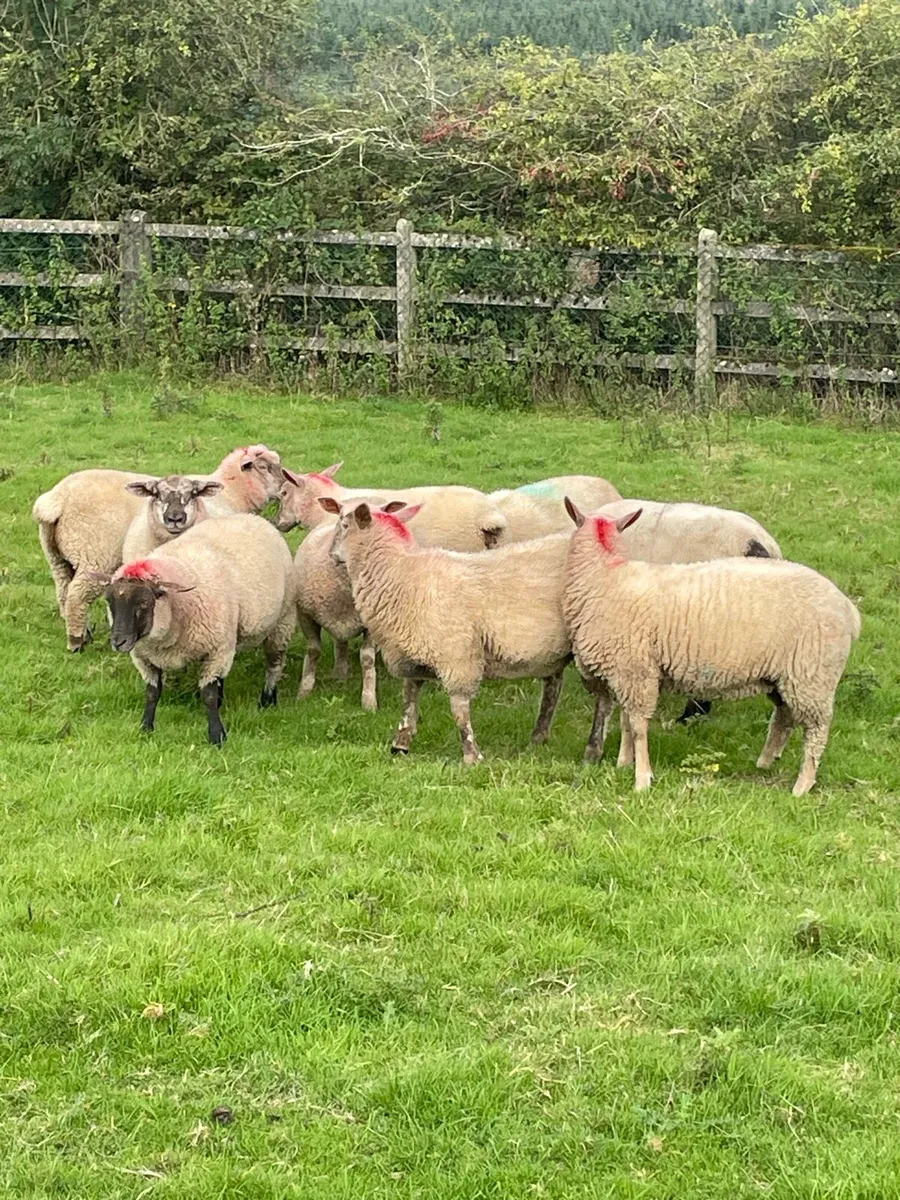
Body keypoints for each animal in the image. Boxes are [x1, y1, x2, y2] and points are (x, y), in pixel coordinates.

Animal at [33, 444, 283, 651]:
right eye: (264, 466)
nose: (284, 487)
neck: (233, 491)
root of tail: (57, 499)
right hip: (94, 555)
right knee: (77, 596)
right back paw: (76, 642)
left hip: (57, 558)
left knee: (63, 592)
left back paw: (83, 633)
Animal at [104, 514, 295, 745]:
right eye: (109, 601)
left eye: (143, 603)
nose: (118, 642)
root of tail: (255, 518)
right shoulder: (144, 657)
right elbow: (151, 692)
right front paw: (146, 727)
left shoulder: (216, 648)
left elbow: (208, 696)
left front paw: (217, 736)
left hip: (282, 621)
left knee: (274, 664)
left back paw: (267, 700)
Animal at [331, 502, 574, 764]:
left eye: (344, 524)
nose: (331, 553)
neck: (402, 574)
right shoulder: (413, 656)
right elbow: (409, 698)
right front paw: (401, 743)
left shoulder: (457, 655)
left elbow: (459, 709)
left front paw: (471, 755)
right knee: (553, 686)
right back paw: (538, 738)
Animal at [562, 501, 860, 796]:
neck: (608, 574)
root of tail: (849, 610)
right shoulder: (630, 671)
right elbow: (626, 722)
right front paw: (624, 763)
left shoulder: (634, 671)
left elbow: (637, 726)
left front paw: (642, 779)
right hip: (783, 676)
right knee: (784, 716)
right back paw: (766, 761)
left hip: (812, 676)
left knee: (817, 731)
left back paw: (802, 784)